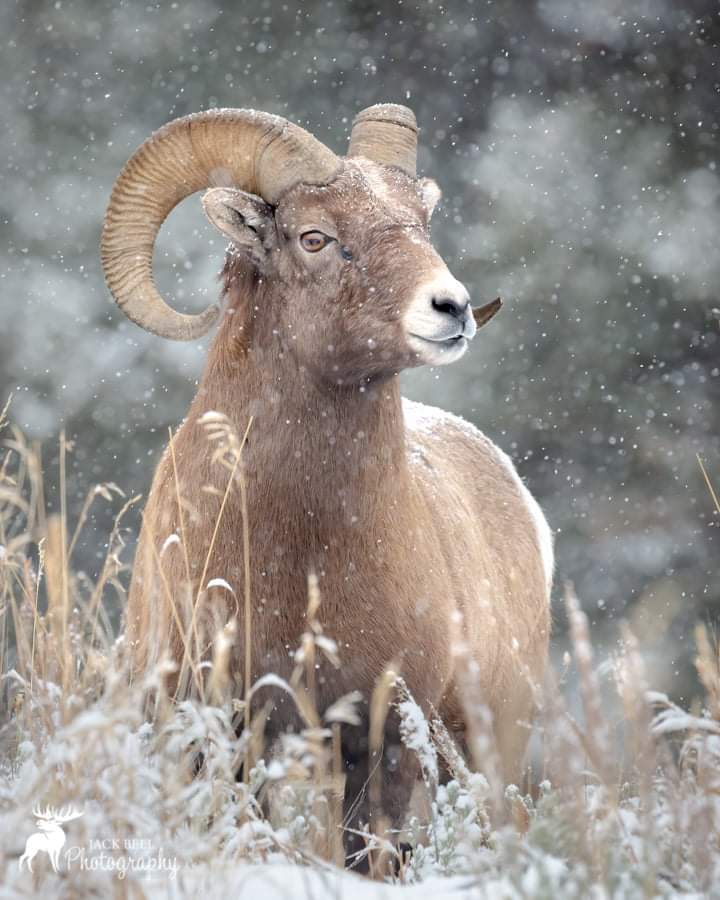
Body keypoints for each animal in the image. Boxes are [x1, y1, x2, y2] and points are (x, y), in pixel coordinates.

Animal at [101, 104, 552, 865]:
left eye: (420, 221)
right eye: (315, 237)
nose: (451, 308)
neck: (300, 556)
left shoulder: (383, 744)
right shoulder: (215, 731)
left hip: (489, 753)